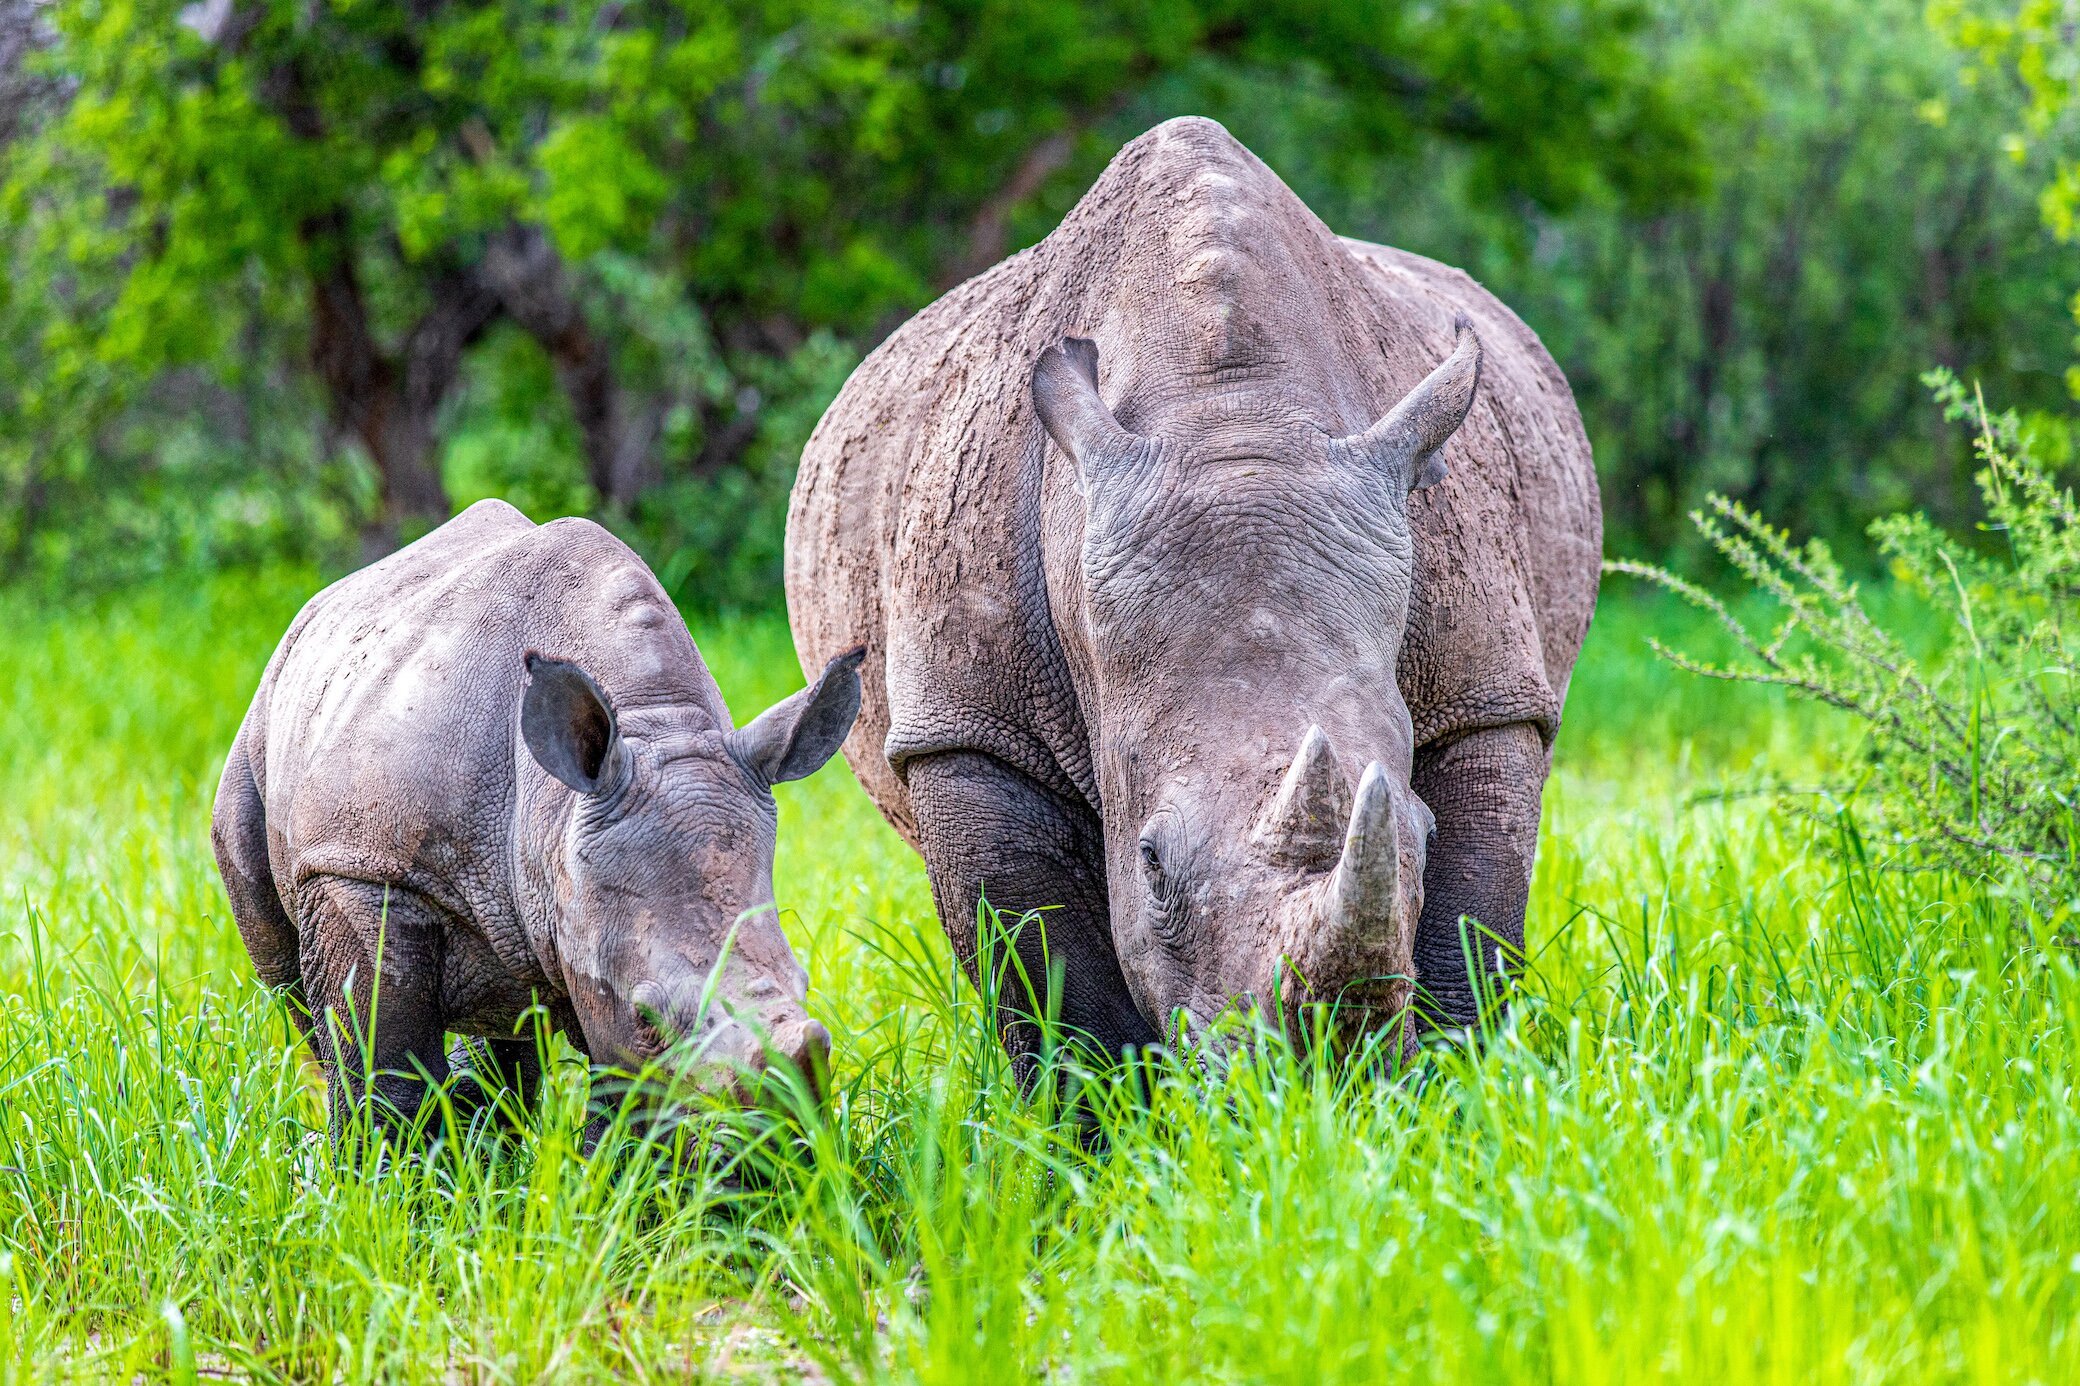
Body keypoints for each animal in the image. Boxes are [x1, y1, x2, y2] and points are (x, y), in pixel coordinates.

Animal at [211, 499, 861, 1140]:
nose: (779, 1142)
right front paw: (385, 1168)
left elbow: (629, 1110)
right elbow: (383, 1068)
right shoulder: (362, 868)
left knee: (507, 1014)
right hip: (266, 730)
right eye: (647, 1016)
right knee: (291, 985)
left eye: (805, 983)